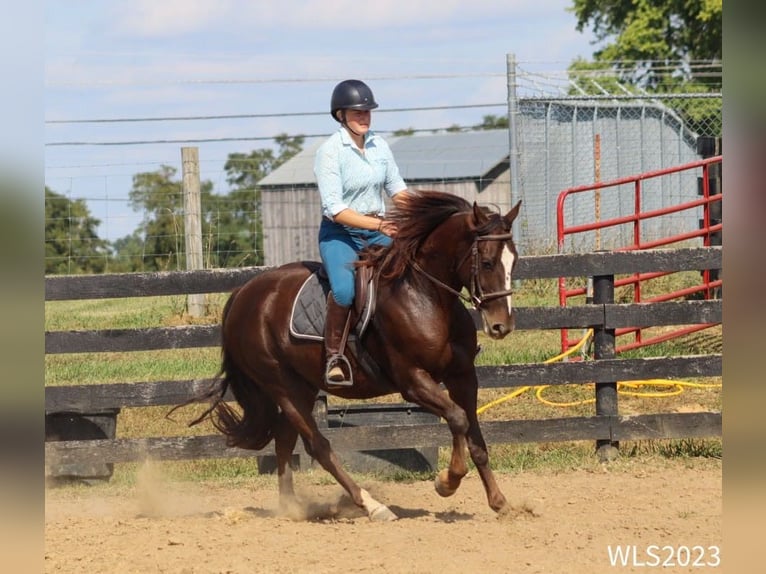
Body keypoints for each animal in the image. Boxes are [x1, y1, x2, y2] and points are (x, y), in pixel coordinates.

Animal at [184, 192, 524, 520]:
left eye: (514, 261)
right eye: (488, 262)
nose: (501, 325)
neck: (426, 295)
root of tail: (243, 293)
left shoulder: (463, 377)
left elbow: (475, 438)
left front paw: (501, 503)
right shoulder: (412, 381)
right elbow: (457, 419)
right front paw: (447, 482)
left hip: (302, 387)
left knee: (284, 439)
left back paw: (291, 508)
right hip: (281, 386)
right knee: (318, 446)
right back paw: (371, 505)